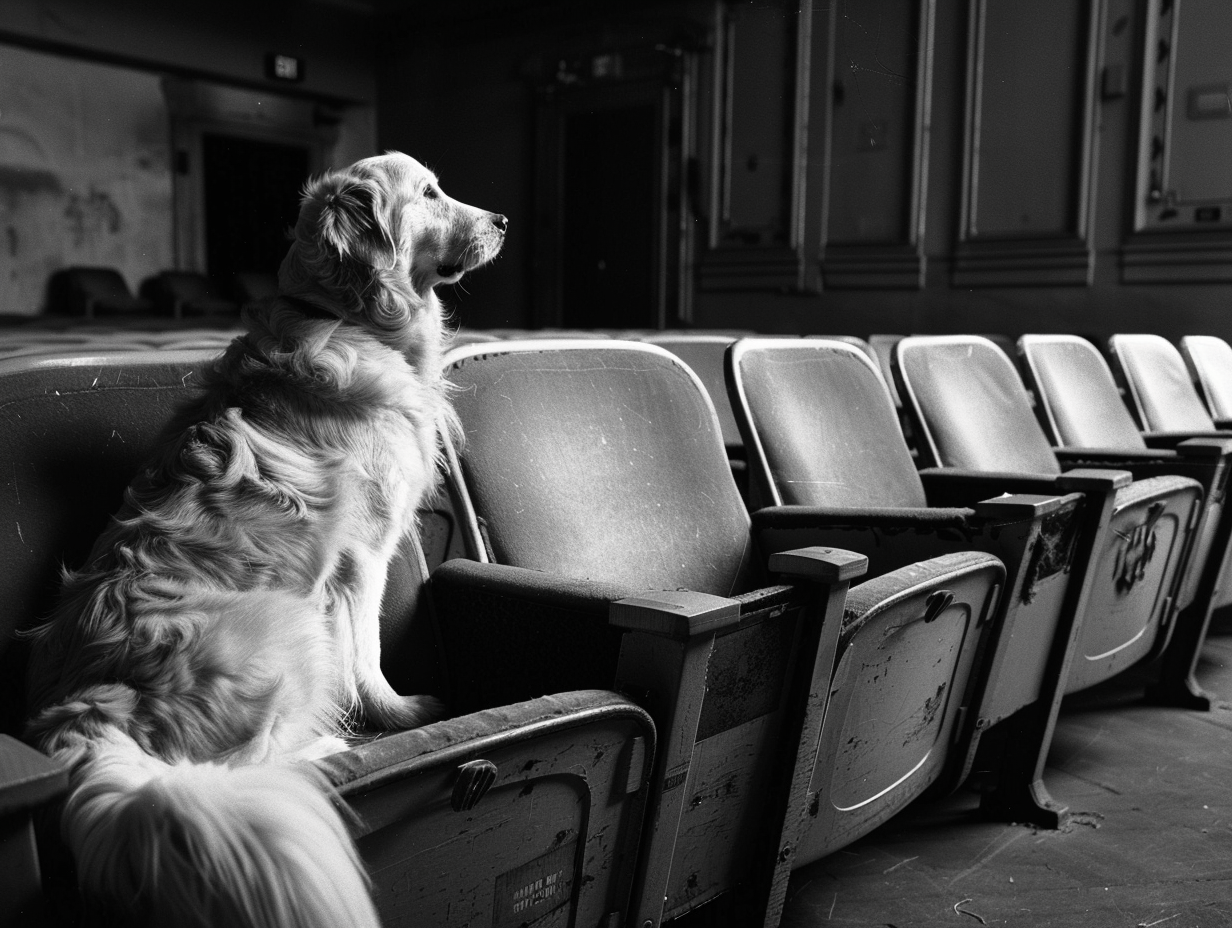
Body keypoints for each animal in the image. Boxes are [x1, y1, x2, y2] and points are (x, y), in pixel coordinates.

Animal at [25, 154, 505, 926]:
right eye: (431, 194)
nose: (503, 221)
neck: (349, 318)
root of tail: (88, 709)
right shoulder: (364, 557)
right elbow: (367, 655)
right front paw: (398, 713)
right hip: (291, 624)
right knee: (234, 773)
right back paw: (322, 749)